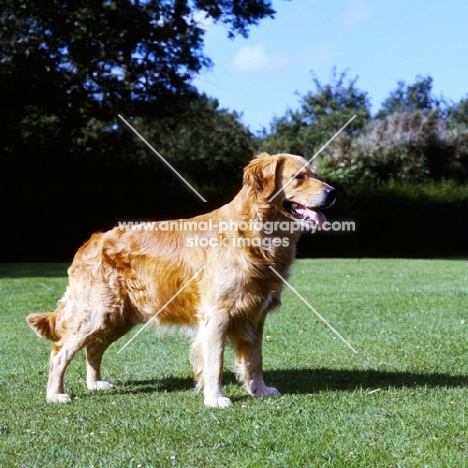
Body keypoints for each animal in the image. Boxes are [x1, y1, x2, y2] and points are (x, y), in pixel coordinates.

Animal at [26, 153, 332, 406]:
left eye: (315, 174)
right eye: (299, 177)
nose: (333, 192)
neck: (253, 233)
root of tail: (90, 241)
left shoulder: (254, 314)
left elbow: (255, 359)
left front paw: (259, 390)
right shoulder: (217, 314)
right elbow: (215, 361)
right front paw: (215, 398)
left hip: (118, 316)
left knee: (93, 347)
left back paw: (95, 384)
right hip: (96, 311)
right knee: (60, 352)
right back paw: (55, 394)